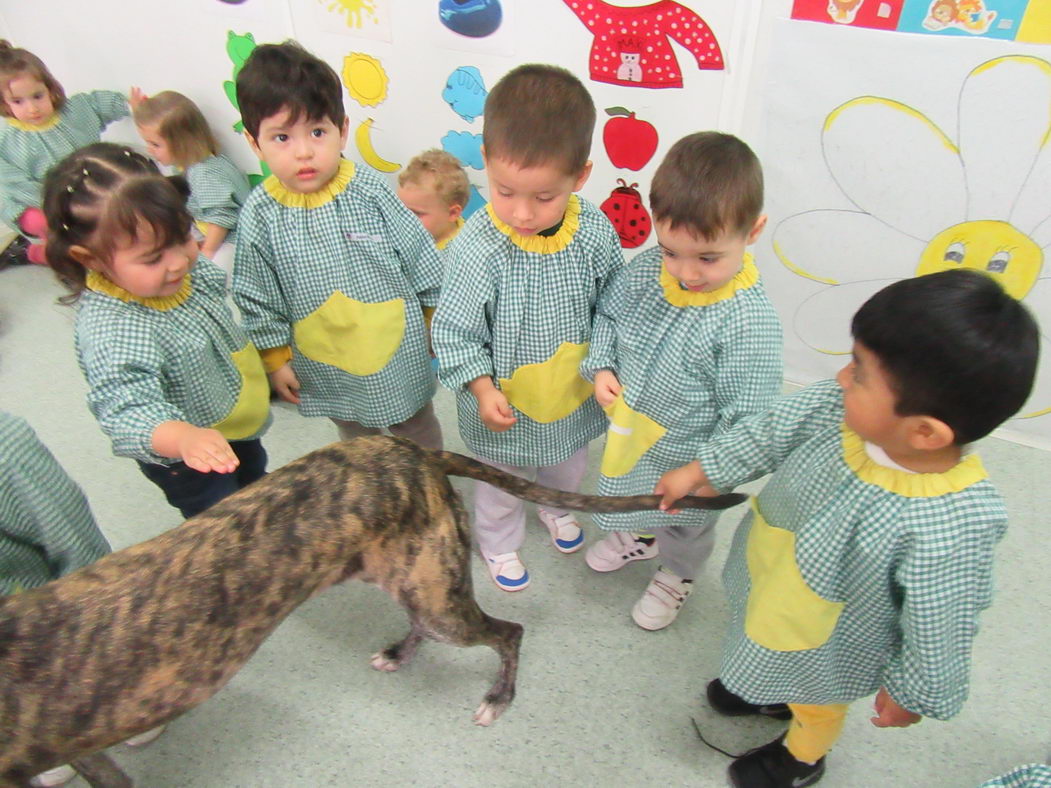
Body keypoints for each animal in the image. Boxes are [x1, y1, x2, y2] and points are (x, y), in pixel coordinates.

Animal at [0, 434, 744, 785]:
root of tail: (413, 451)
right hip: (416, 576)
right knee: (430, 623)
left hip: (439, 595)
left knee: (509, 631)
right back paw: (398, 651)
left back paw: (498, 698)